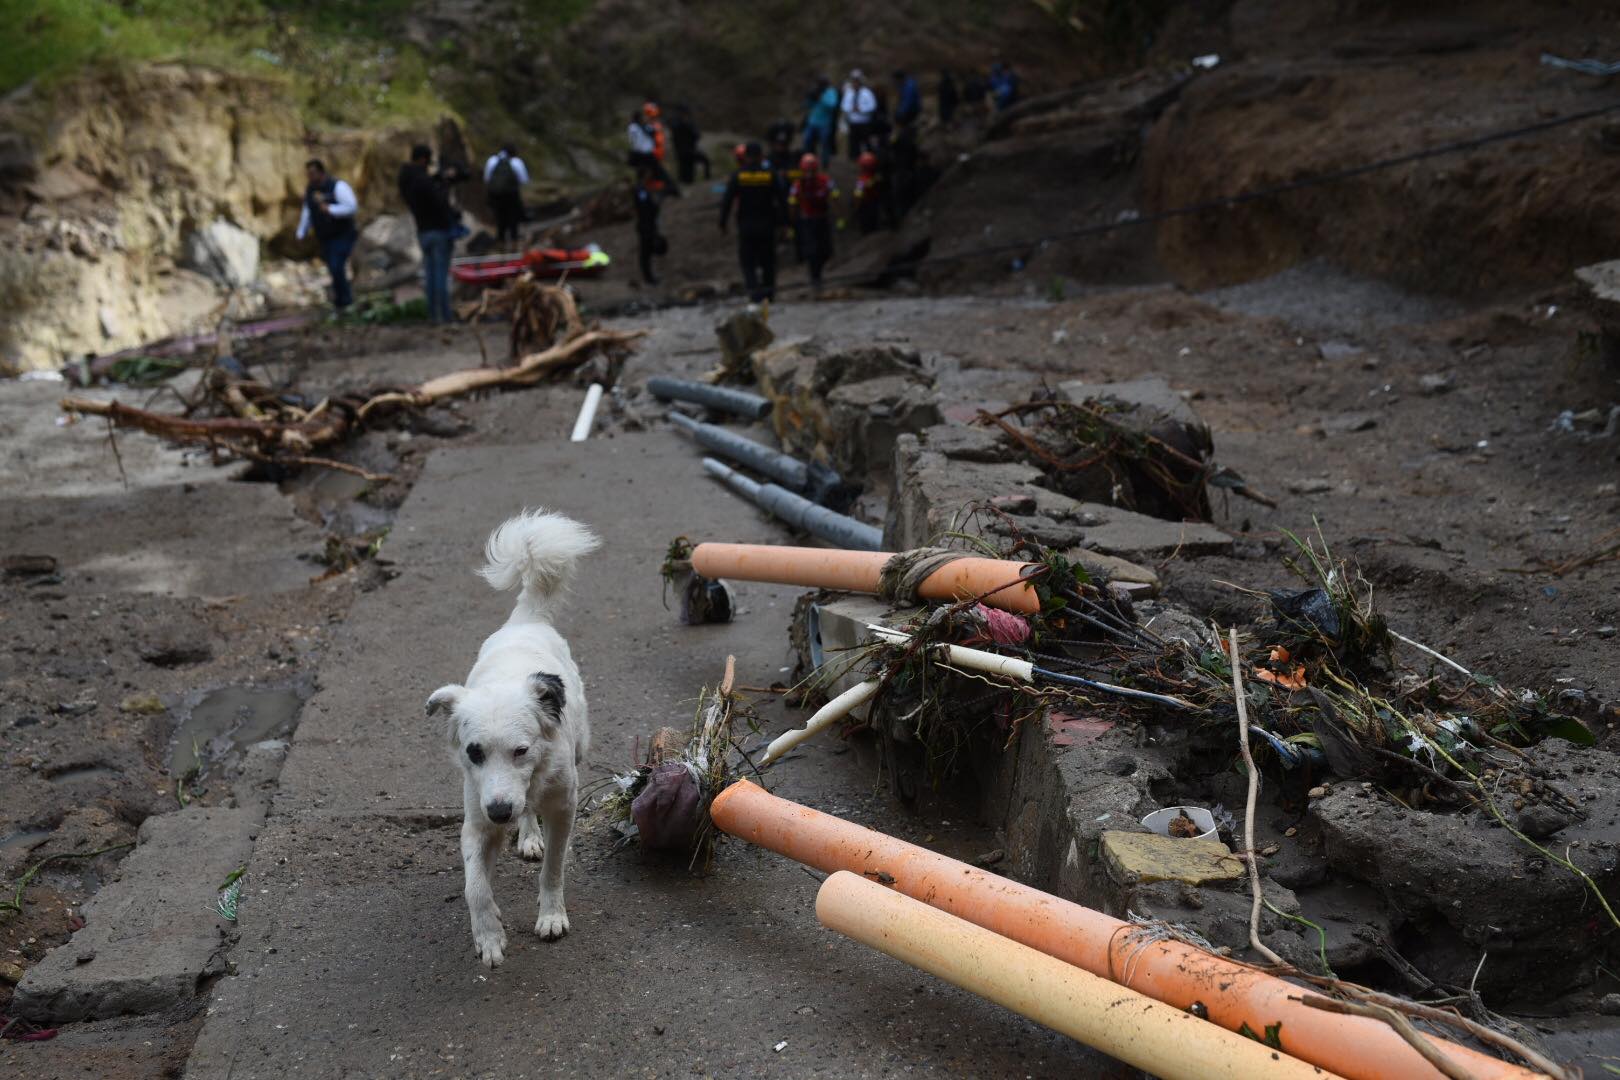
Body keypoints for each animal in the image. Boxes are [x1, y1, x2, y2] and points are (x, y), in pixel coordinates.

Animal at [427, 511, 599, 965]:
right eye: (474, 753)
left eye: (521, 751)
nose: (501, 811)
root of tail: (527, 620)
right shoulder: (476, 822)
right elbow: (474, 886)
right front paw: (488, 935)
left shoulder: (563, 807)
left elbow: (554, 868)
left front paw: (551, 916)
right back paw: (528, 834)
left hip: (581, 746)